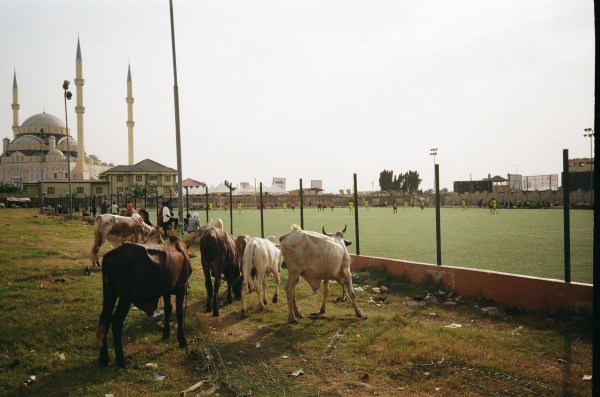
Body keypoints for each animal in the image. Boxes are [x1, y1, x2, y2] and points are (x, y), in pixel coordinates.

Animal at [97, 235, 192, 368]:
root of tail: (112, 254)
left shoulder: (166, 290)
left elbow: (168, 309)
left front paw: (166, 334)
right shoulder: (181, 287)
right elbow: (179, 313)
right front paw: (182, 340)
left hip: (110, 293)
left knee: (104, 318)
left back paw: (104, 359)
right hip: (125, 297)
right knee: (116, 322)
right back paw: (121, 361)